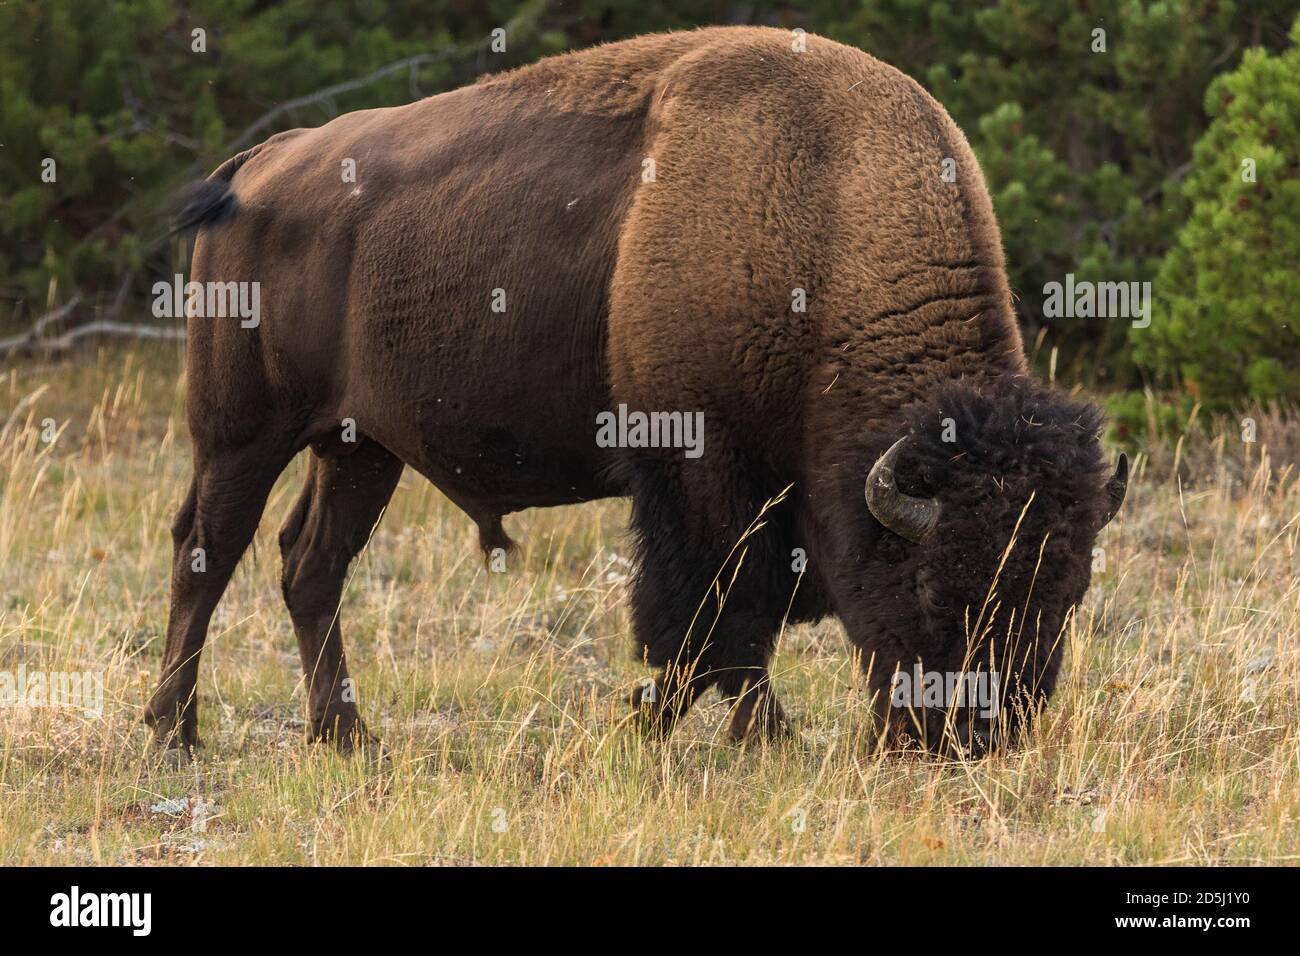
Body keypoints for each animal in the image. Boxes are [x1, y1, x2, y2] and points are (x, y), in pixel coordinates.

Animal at [144, 26, 1128, 759]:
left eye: (1067, 592)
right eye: (931, 586)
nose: (972, 737)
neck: (823, 218)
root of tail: (260, 164)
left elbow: (724, 619)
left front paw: (677, 721)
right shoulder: (698, 468)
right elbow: (717, 610)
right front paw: (741, 731)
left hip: (358, 447)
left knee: (310, 564)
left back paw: (346, 734)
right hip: (242, 434)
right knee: (207, 550)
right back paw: (174, 731)